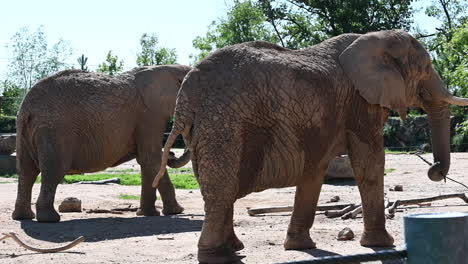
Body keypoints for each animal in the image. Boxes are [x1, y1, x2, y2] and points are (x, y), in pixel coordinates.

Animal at [12, 64, 192, 223]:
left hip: (26, 131)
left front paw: (150, 214)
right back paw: (49, 219)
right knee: (52, 171)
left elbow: (148, 160)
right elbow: (151, 159)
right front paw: (173, 212)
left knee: (26, 171)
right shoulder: (149, 116)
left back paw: (23, 217)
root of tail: (26, 108)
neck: (168, 68)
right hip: (54, 130)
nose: (172, 154)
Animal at [154, 29, 468, 262]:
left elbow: (315, 170)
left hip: (205, 127)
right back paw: (220, 257)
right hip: (223, 121)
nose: (435, 170)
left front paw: (300, 247)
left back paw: (235, 248)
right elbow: (369, 162)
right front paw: (382, 245)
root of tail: (187, 94)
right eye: (425, 68)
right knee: (221, 189)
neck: (373, 39)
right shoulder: (360, 102)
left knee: (219, 187)